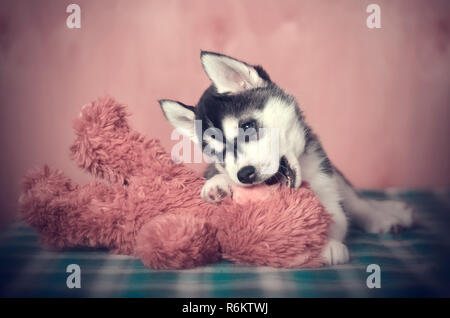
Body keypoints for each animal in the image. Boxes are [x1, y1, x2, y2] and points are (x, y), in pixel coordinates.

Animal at [159, 51, 414, 264]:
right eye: (216, 152)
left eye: (247, 126)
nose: (245, 174)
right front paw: (218, 184)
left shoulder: (326, 183)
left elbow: (335, 218)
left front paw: (327, 244)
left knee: (358, 202)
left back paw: (388, 215)